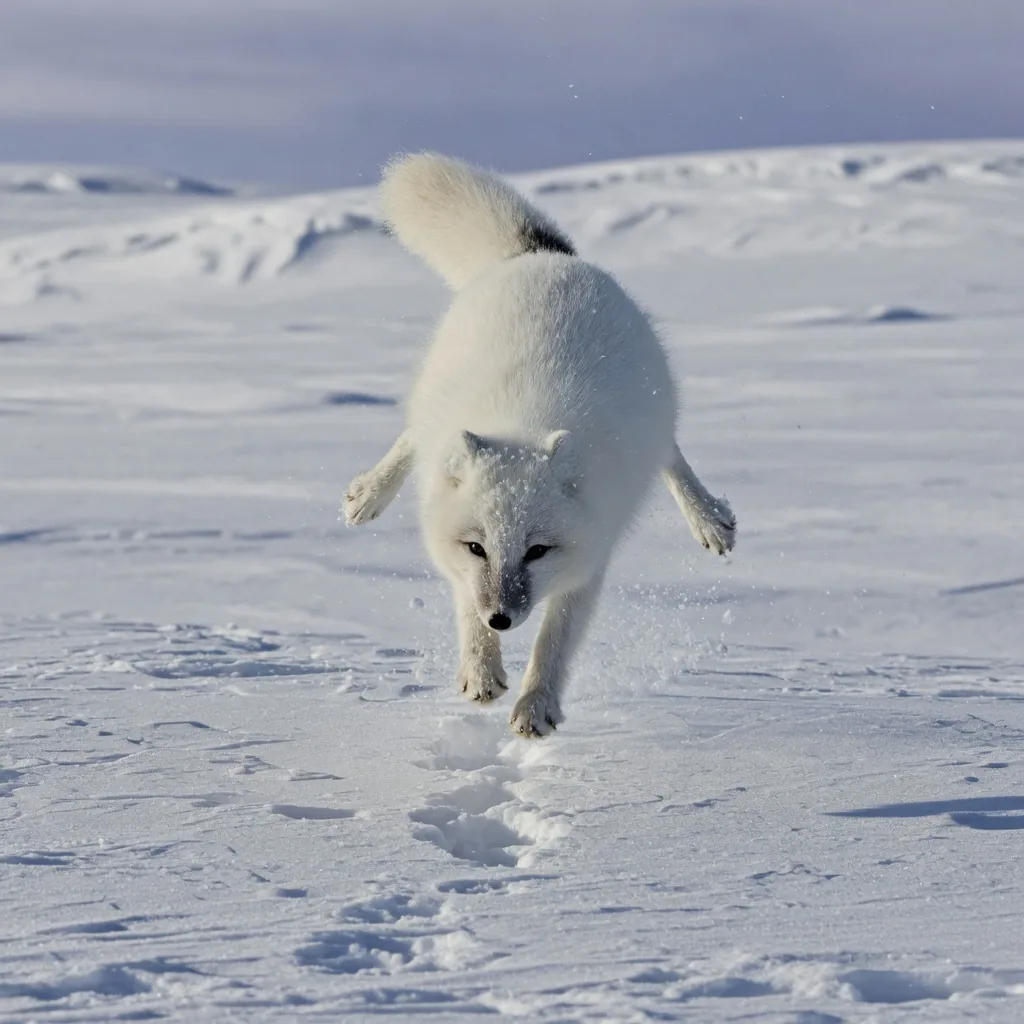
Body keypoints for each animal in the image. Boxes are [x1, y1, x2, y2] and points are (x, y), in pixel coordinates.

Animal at [344, 153, 735, 737]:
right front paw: (481, 670)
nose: (502, 619)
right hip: (433, 395)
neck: (522, 422)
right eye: (477, 547)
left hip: (656, 412)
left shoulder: (589, 559)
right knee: (412, 433)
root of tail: (544, 255)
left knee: (670, 454)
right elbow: (465, 604)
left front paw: (536, 706)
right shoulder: (455, 548)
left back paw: (708, 517)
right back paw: (369, 494)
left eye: (537, 551)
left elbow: (554, 643)